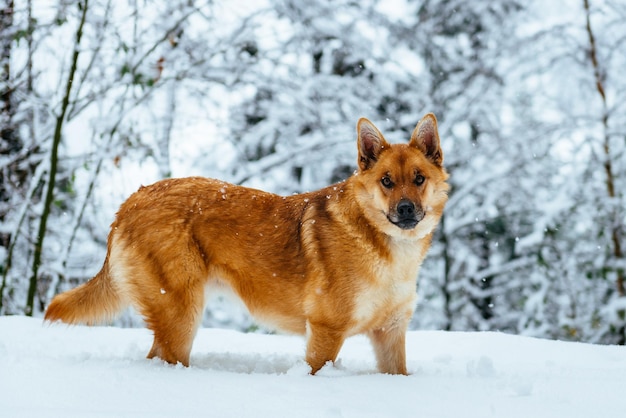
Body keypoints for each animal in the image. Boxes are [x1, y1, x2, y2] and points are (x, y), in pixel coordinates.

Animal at [46, 114, 450, 376]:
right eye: (386, 181)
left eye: (418, 178)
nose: (406, 209)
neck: (386, 248)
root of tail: (131, 201)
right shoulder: (326, 332)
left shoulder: (390, 335)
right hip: (182, 315)